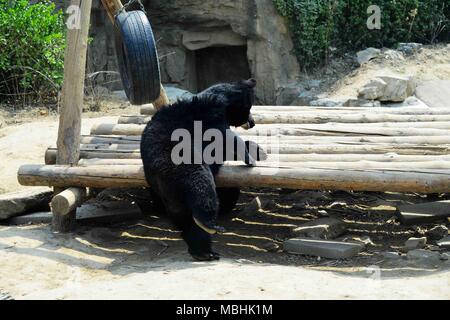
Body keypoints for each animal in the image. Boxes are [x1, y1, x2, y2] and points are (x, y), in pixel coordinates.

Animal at [142, 79, 266, 260]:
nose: (252, 122)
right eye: (248, 109)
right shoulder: (209, 117)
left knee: (184, 219)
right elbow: (226, 138)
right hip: (186, 164)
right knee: (202, 188)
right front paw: (250, 158)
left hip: (169, 194)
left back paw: (204, 251)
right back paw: (209, 225)